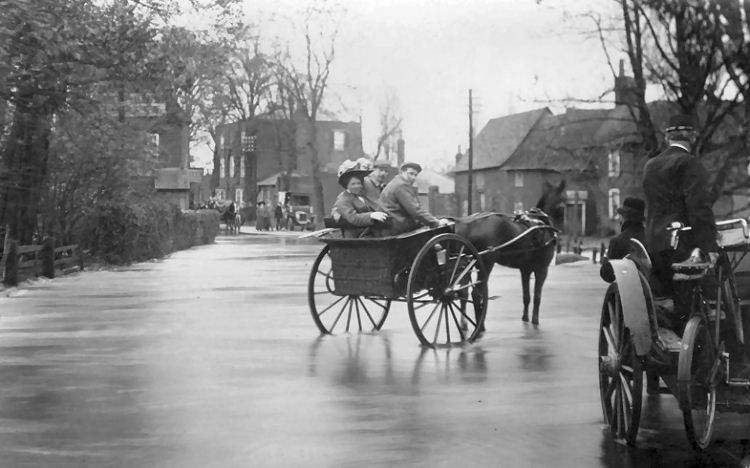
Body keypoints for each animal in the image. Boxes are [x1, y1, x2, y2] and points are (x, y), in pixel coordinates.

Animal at [456, 179, 568, 326]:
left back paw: (465, 323)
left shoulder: (525, 270)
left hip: (467, 263)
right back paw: (480, 325)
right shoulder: (542, 270)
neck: (541, 223)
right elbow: (537, 297)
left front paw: (525, 317)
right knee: (476, 294)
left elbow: (526, 296)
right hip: (486, 263)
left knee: (463, 292)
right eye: (565, 200)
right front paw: (535, 320)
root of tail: (470, 223)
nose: (562, 228)